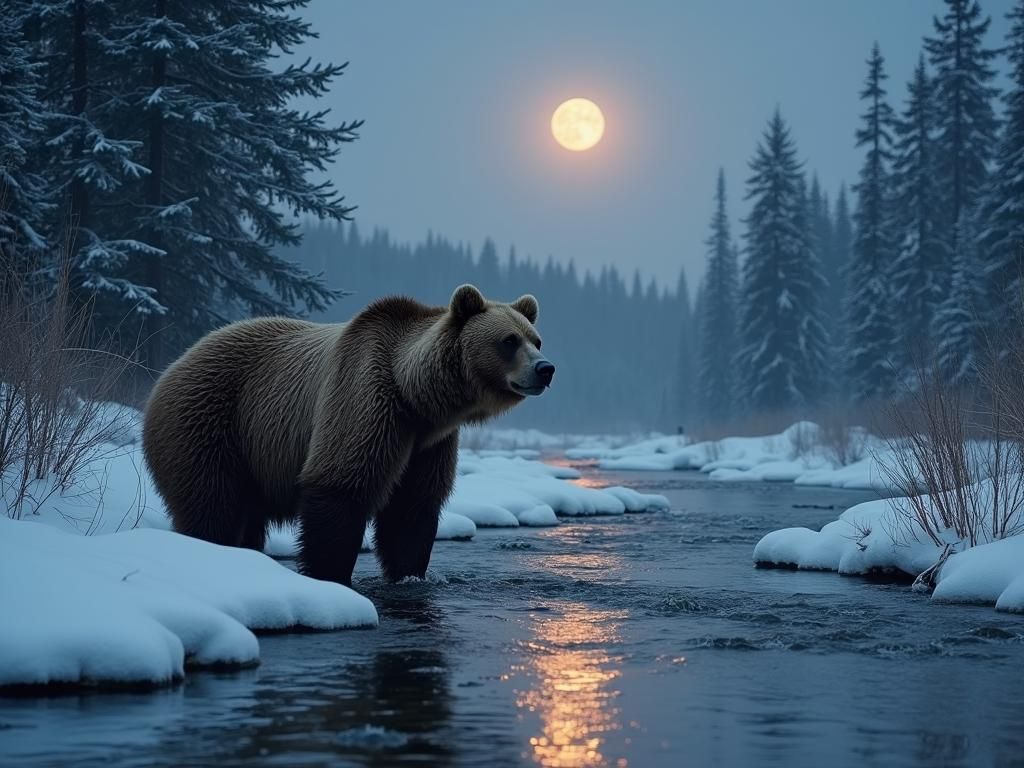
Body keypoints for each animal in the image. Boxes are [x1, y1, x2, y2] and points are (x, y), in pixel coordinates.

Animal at [142, 284, 553, 586]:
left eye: (536, 339)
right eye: (508, 340)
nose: (545, 369)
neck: (415, 396)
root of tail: (174, 364)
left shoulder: (427, 443)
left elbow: (413, 508)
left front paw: (408, 574)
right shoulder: (364, 400)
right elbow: (340, 486)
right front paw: (330, 575)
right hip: (208, 422)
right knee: (210, 504)